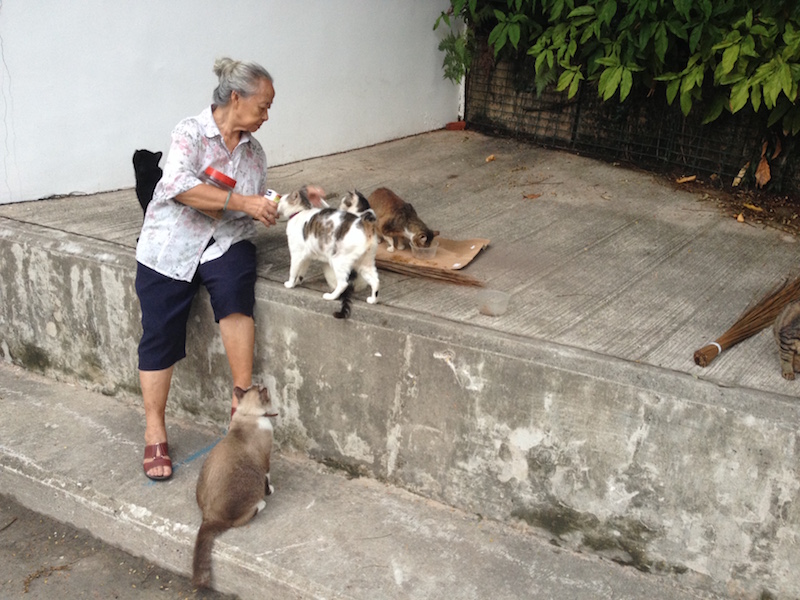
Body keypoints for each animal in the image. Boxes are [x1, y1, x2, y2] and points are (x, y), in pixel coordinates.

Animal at [191, 386, 276, 588]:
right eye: (262, 388)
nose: (264, 385)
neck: (249, 414)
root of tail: (209, 516)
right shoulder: (266, 462)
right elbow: (268, 479)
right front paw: (270, 491)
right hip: (251, 490)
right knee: (247, 515)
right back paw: (261, 504)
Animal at [276, 188, 380, 318]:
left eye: (281, 199)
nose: (277, 204)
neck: (300, 212)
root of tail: (365, 225)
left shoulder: (296, 254)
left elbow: (293, 271)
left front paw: (290, 284)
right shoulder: (306, 257)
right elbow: (301, 272)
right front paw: (297, 282)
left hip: (338, 261)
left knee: (343, 284)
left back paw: (330, 296)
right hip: (365, 264)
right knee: (375, 281)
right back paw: (373, 300)